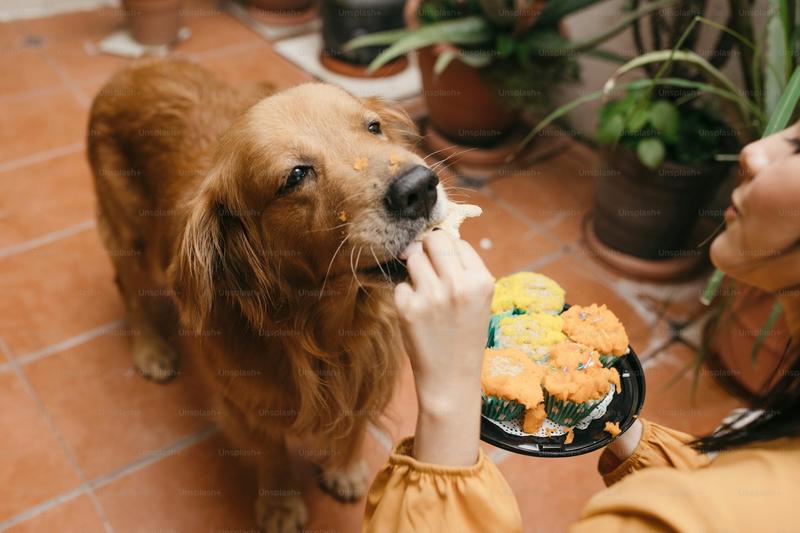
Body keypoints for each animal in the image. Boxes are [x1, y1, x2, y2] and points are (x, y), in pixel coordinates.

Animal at [87, 60, 450, 528]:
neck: (323, 332)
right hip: (128, 234)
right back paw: (151, 349)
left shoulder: (373, 371)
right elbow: (272, 452)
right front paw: (280, 506)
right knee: (129, 290)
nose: (420, 187)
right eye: (295, 175)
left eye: (373, 128)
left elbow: (353, 425)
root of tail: (136, 65)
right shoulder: (243, 400)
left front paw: (345, 469)